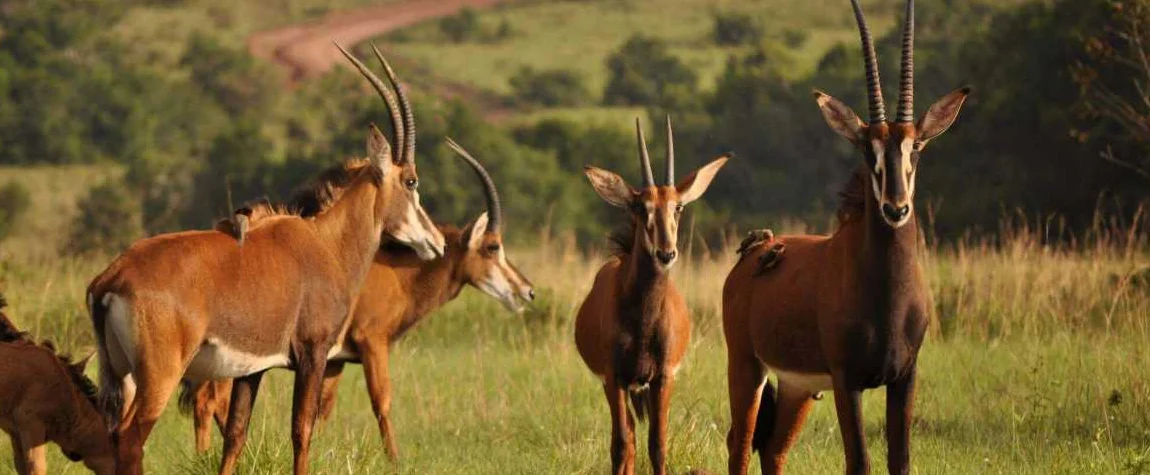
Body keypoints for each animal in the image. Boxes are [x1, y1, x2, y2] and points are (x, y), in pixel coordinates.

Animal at [83, 44, 443, 473]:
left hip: (121, 375)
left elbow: (236, 436)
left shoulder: (250, 370)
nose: (437, 242)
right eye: (411, 181)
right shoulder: (312, 352)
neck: (327, 244)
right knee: (131, 439)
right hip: (159, 376)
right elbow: (302, 430)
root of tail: (112, 277)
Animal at [182, 136, 533, 460]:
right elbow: (382, 401)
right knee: (209, 400)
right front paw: (394, 460)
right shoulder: (371, 342)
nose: (527, 291)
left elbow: (323, 410)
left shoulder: (334, 361)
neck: (396, 275)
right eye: (493, 246)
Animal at [575, 115, 726, 473]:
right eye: (640, 207)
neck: (642, 318)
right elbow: (620, 444)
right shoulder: (613, 377)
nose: (666, 253)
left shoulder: (663, 378)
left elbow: (658, 444)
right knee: (627, 439)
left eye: (678, 206)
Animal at [722, 0, 966, 473]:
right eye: (867, 149)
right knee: (740, 446)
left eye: (915, 148)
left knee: (773, 449)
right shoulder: (846, 378)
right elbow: (860, 462)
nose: (896, 208)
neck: (886, 293)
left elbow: (900, 460)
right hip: (746, 367)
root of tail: (756, 249)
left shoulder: (905, 376)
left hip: (798, 386)